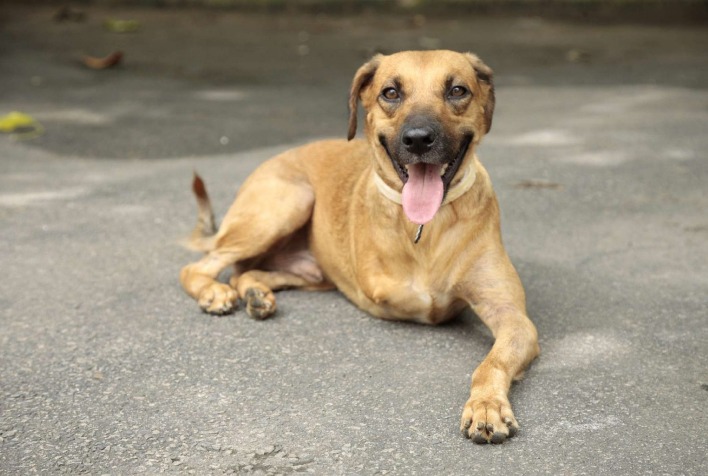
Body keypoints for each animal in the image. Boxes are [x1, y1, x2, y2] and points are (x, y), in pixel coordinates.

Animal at [180, 50, 540, 444]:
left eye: (457, 90)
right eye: (391, 93)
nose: (418, 140)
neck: (425, 228)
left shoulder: (513, 318)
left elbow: (491, 362)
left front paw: (486, 405)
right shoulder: (386, 290)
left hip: (313, 272)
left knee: (246, 272)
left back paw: (256, 294)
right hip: (285, 204)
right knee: (200, 266)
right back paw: (213, 292)